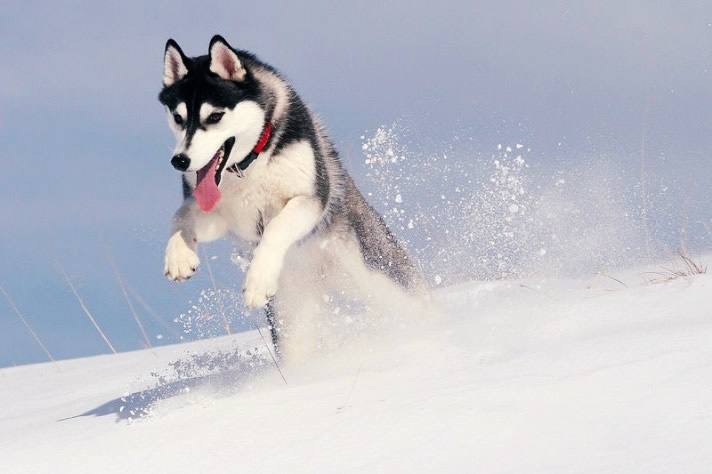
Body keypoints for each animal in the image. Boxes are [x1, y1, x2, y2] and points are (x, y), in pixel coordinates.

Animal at [159, 35, 422, 358]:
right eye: (178, 117)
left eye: (215, 116)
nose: (180, 161)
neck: (250, 166)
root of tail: (323, 281)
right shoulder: (226, 217)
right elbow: (181, 215)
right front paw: (179, 256)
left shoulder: (310, 200)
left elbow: (277, 227)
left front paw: (258, 280)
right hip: (294, 320)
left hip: (382, 276)